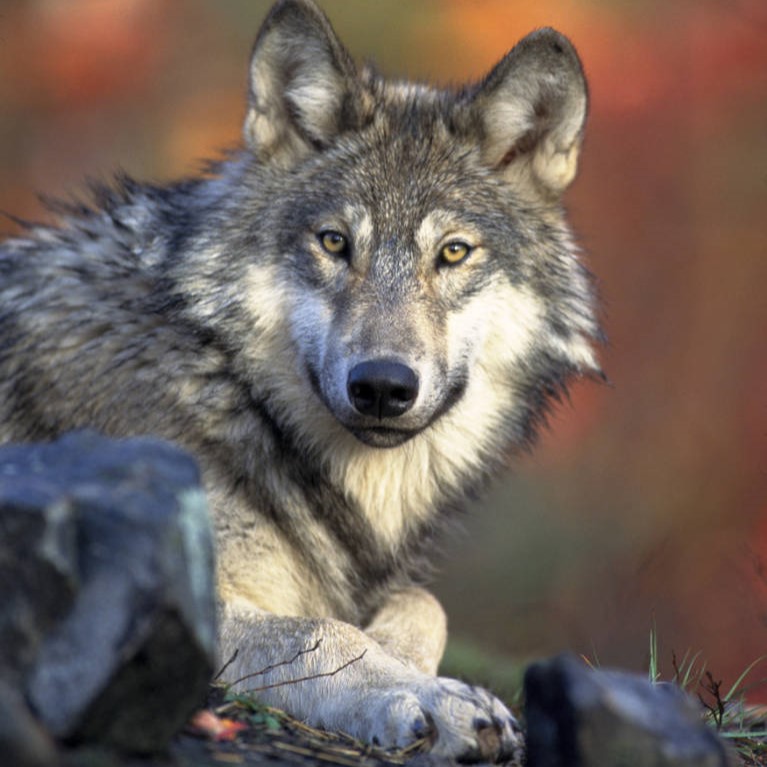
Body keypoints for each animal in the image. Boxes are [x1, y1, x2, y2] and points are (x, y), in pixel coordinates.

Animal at [0, 0, 601, 762]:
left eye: (453, 253)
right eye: (335, 242)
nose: (382, 385)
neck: (227, 387)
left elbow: (422, 603)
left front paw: (409, 663)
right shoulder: (165, 596)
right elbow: (321, 630)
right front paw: (428, 696)